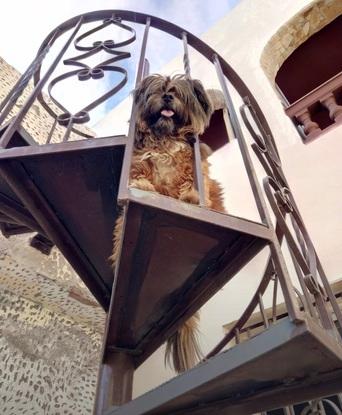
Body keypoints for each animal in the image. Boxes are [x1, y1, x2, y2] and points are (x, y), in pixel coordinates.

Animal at [111, 75, 224, 374]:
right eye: (159, 91)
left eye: (177, 93)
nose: (167, 97)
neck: (165, 137)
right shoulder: (141, 160)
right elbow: (142, 171)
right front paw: (142, 185)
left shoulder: (193, 165)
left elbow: (191, 180)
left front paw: (191, 197)